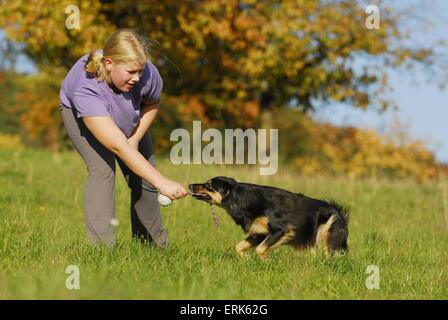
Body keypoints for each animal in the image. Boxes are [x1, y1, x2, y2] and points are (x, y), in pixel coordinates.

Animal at [189, 176, 350, 258]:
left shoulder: (281, 230)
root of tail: (339, 212)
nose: (190, 185)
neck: (244, 199)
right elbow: (239, 247)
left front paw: (264, 261)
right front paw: (246, 260)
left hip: (326, 233)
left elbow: (260, 249)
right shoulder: (259, 232)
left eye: (209, 185)